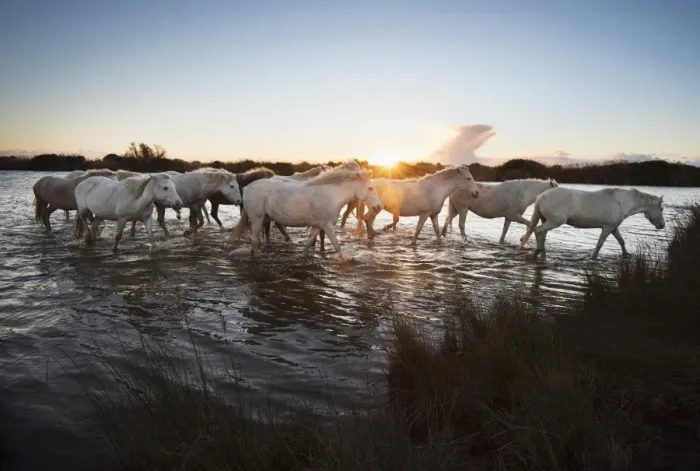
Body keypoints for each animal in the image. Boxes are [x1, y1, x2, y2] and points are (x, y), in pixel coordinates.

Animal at [231, 166, 382, 261]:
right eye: (370, 188)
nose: (379, 207)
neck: (331, 195)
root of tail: (248, 187)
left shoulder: (317, 226)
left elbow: (308, 244)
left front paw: (303, 257)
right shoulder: (327, 226)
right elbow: (337, 245)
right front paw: (345, 260)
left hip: (264, 218)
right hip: (257, 219)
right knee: (255, 241)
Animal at [518, 187, 666, 260]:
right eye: (662, 209)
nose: (662, 225)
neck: (621, 202)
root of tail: (541, 197)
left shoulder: (614, 227)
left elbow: (621, 241)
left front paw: (625, 255)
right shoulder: (607, 227)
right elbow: (600, 244)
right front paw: (593, 258)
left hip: (547, 220)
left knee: (541, 234)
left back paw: (543, 254)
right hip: (555, 221)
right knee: (539, 231)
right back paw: (538, 253)